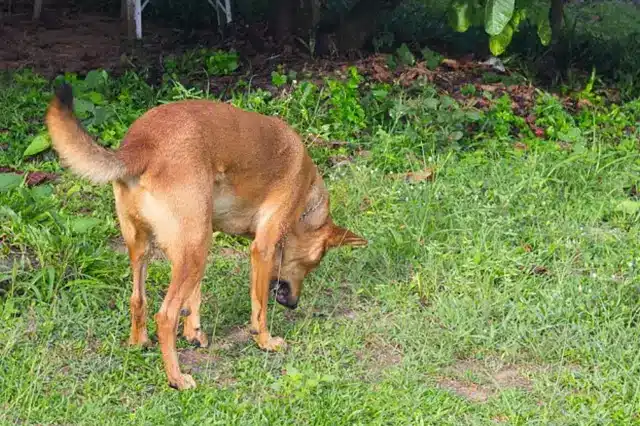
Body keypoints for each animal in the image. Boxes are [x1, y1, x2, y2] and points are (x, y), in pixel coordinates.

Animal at [43, 83, 364, 390]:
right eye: (315, 262)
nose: (294, 304)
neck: (307, 199)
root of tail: (141, 146)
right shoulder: (262, 249)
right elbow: (259, 308)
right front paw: (265, 341)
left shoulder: (203, 232)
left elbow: (194, 297)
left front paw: (194, 332)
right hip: (192, 251)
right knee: (165, 316)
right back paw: (176, 378)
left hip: (156, 248)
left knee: (138, 300)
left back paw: (139, 343)